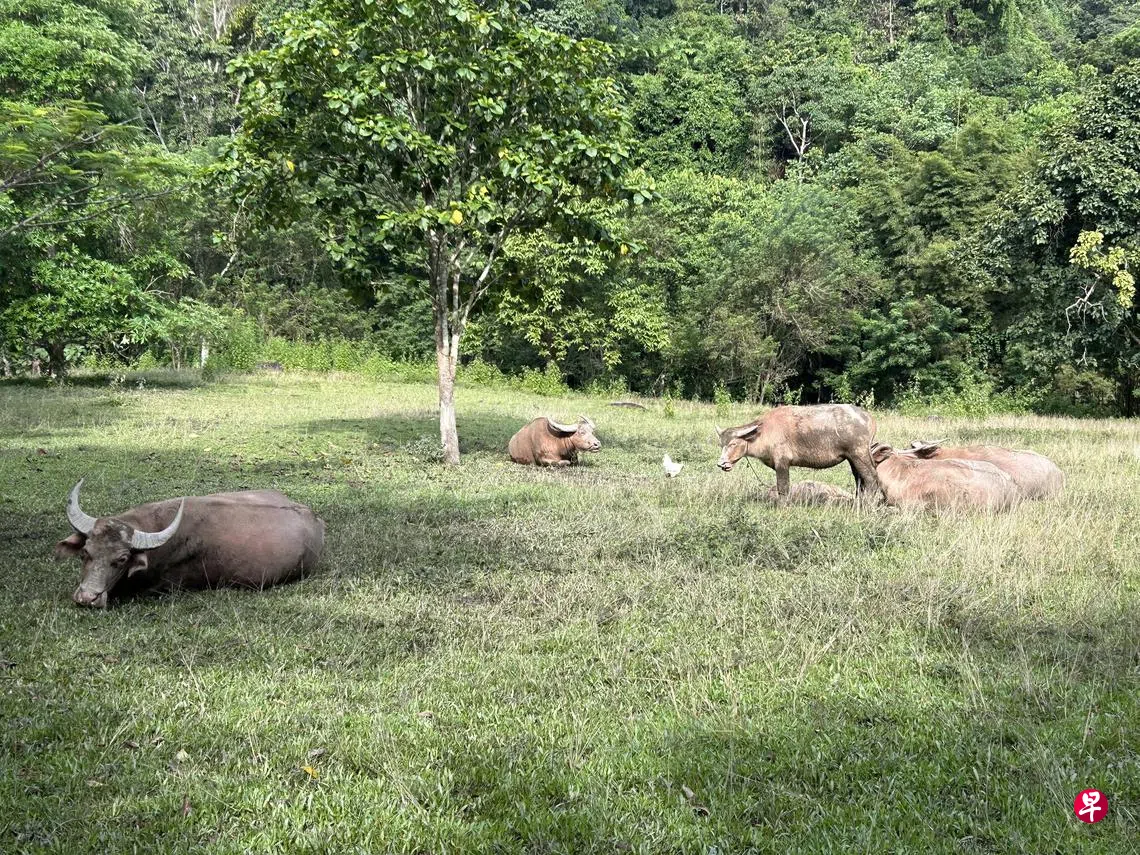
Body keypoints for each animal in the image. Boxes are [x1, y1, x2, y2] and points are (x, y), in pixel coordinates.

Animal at [717, 404, 883, 500]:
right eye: (721, 444)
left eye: (733, 443)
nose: (721, 463)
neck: (763, 433)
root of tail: (870, 419)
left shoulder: (782, 463)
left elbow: (783, 488)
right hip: (852, 458)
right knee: (859, 480)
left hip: (859, 454)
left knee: (871, 479)